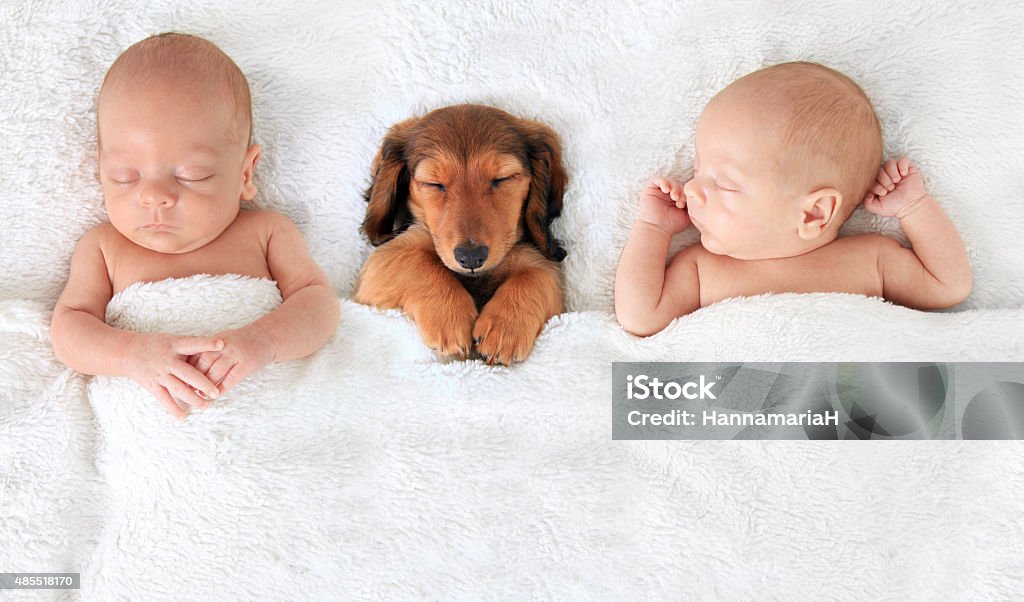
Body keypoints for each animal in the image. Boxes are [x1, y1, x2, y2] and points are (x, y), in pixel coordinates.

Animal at [354, 103, 569, 364]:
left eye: (502, 179)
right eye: (433, 183)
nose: (471, 257)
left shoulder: (538, 264)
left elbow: (536, 276)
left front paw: (504, 329)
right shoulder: (380, 264)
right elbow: (417, 260)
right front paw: (450, 317)